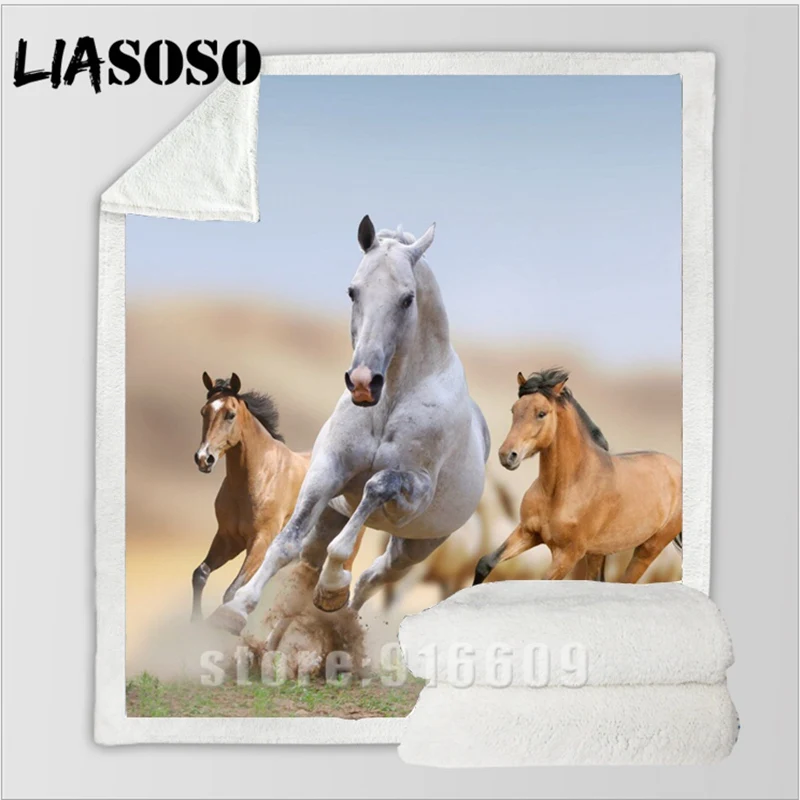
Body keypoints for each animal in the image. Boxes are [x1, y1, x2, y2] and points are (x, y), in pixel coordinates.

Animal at [190, 372, 313, 621]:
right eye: (203, 412)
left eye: (230, 414)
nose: (203, 458)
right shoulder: (228, 538)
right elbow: (200, 574)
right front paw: (195, 622)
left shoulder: (260, 542)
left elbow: (232, 592)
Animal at [208, 215, 490, 635]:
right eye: (353, 291)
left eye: (407, 298)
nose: (362, 382)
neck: (389, 402)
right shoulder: (328, 471)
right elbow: (286, 543)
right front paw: (237, 608)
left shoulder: (413, 492)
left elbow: (374, 489)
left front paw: (332, 585)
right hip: (333, 515)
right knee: (310, 563)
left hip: (414, 548)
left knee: (373, 578)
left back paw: (336, 612)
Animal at [474, 368, 682, 585]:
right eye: (514, 410)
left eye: (541, 413)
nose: (507, 455)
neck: (562, 489)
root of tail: (677, 467)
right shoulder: (528, 532)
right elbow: (485, 563)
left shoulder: (568, 554)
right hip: (597, 553)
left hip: (647, 550)